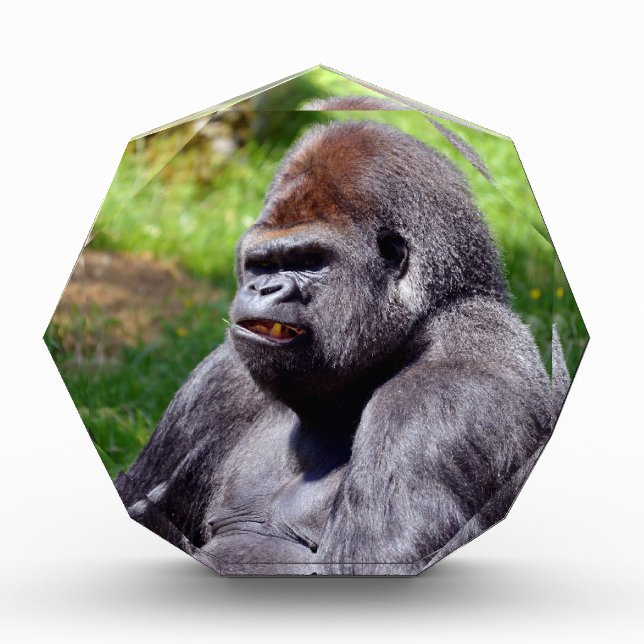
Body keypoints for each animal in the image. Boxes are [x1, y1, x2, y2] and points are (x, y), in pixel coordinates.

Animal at [115, 98, 569, 575]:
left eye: (310, 260)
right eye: (261, 263)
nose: (263, 288)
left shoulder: (444, 396)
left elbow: (368, 563)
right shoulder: (219, 378)